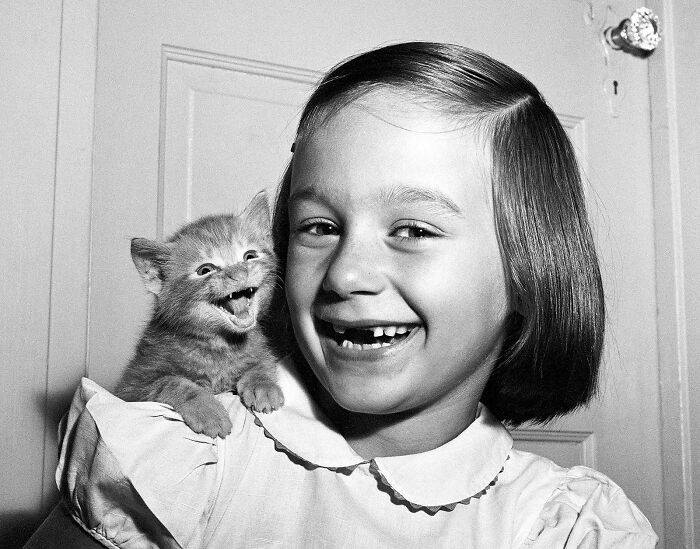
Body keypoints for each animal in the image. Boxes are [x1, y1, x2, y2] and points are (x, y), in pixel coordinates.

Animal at [115, 191, 282, 438]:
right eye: (205, 270)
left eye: (249, 256)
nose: (239, 273)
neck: (219, 346)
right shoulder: (131, 386)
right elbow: (172, 382)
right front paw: (207, 410)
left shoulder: (259, 348)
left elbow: (261, 362)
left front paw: (263, 383)